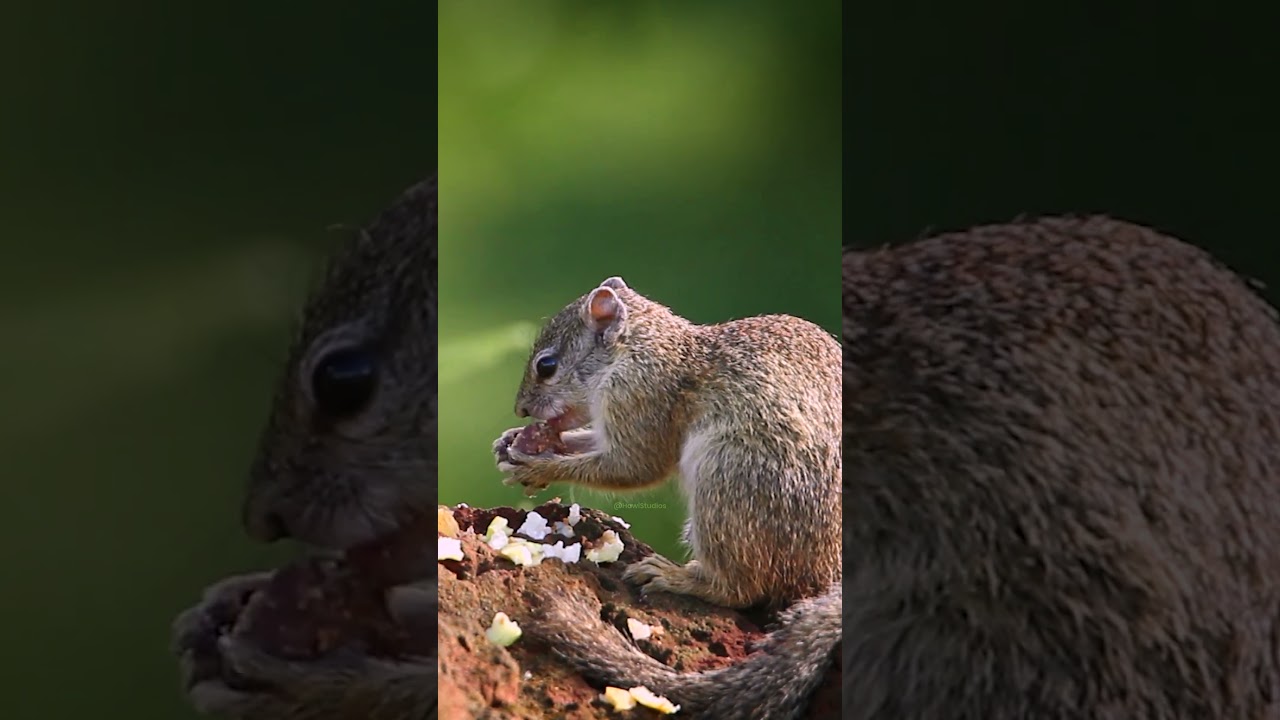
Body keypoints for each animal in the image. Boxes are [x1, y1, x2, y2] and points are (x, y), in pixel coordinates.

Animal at [492, 276, 843, 718]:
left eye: (547, 365)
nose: (521, 410)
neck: (640, 348)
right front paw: (511, 444)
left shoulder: (640, 398)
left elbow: (633, 466)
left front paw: (537, 466)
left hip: (728, 481)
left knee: (740, 588)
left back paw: (673, 576)